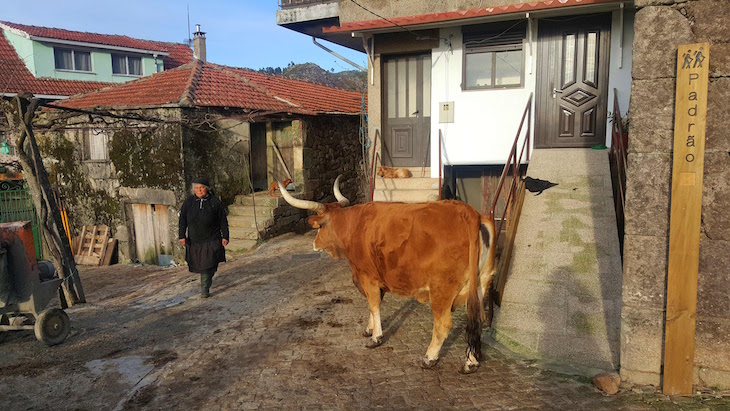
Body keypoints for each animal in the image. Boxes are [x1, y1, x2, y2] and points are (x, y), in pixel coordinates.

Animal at [278, 175, 494, 374]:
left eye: (320, 226)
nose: (314, 244)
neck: (355, 225)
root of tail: (467, 212)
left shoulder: (368, 278)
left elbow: (374, 306)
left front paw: (376, 337)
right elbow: (373, 306)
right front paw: (369, 328)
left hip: (441, 291)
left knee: (443, 325)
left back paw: (429, 358)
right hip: (481, 285)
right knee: (478, 321)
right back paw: (471, 362)